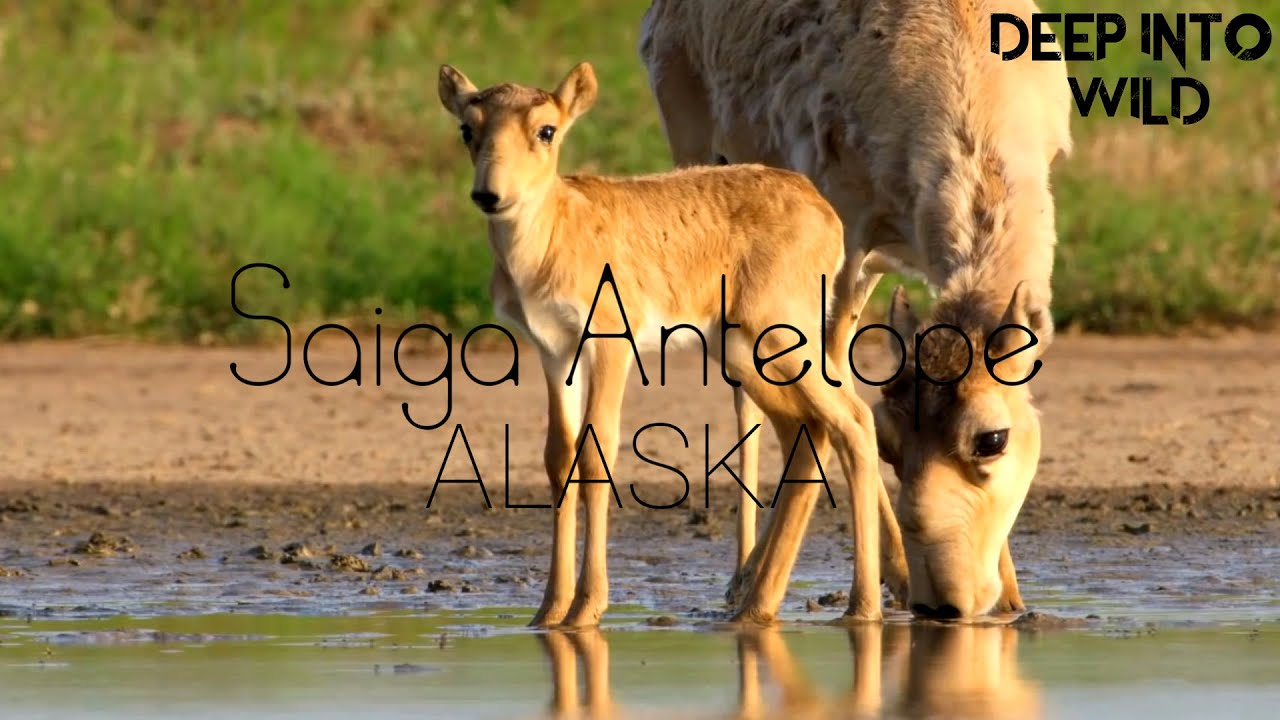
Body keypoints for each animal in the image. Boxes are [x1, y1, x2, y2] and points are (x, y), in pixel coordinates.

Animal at [438, 61, 890, 627]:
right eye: (466, 128)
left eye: (546, 129)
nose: (489, 196)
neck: (552, 236)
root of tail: (824, 210)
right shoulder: (554, 350)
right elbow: (558, 458)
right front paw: (548, 612)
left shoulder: (611, 342)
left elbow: (597, 455)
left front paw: (586, 608)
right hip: (742, 352)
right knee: (805, 431)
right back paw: (757, 604)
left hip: (787, 336)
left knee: (854, 420)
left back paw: (861, 607)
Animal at [640, 0, 1072, 620]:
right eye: (893, 443)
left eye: (993, 438)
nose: (943, 604)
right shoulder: (846, 238)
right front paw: (763, 599)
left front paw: (1012, 600)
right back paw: (745, 577)